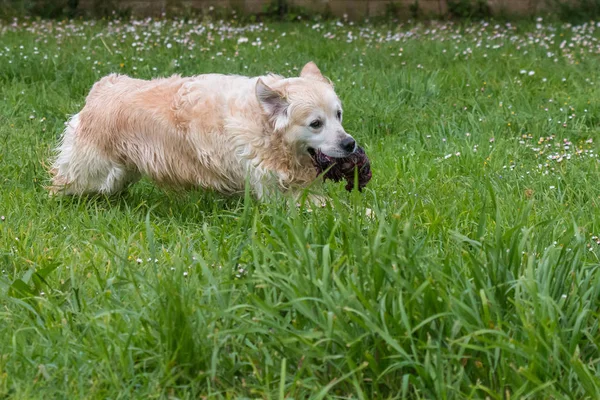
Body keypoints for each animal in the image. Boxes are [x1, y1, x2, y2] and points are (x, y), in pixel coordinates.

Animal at [49, 62, 356, 200]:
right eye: (316, 123)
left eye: (338, 115)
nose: (350, 144)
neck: (264, 127)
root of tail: (103, 87)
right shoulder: (276, 192)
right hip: (91, 169)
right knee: (63, 183)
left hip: (120, 172)